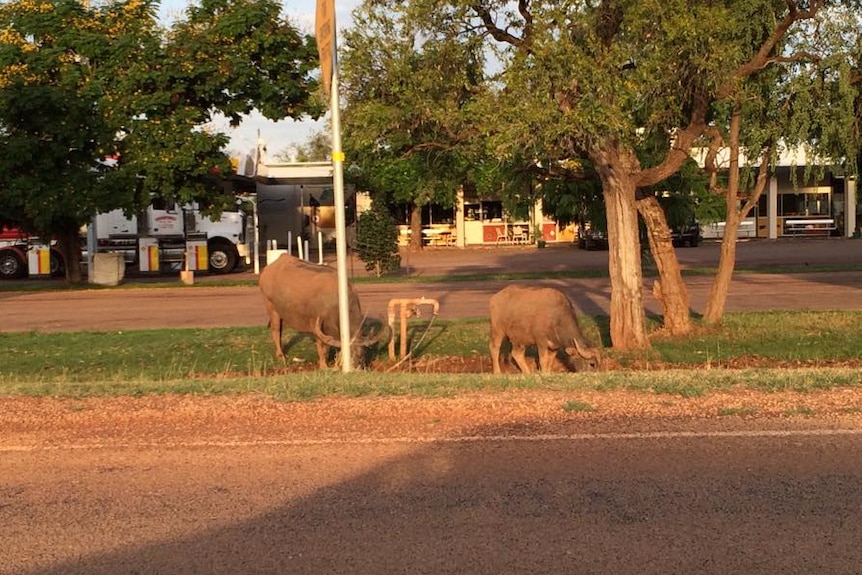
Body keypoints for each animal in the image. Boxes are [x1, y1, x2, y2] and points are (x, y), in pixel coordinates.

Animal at [258, 255, 390, 368]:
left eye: (361, 353)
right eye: (348, 354)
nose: (356, 366)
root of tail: (268, 270)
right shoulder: (318, 327)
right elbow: (323, 349)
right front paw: (323, 366)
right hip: (271, 308)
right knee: (276, 331)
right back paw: (280, 355)